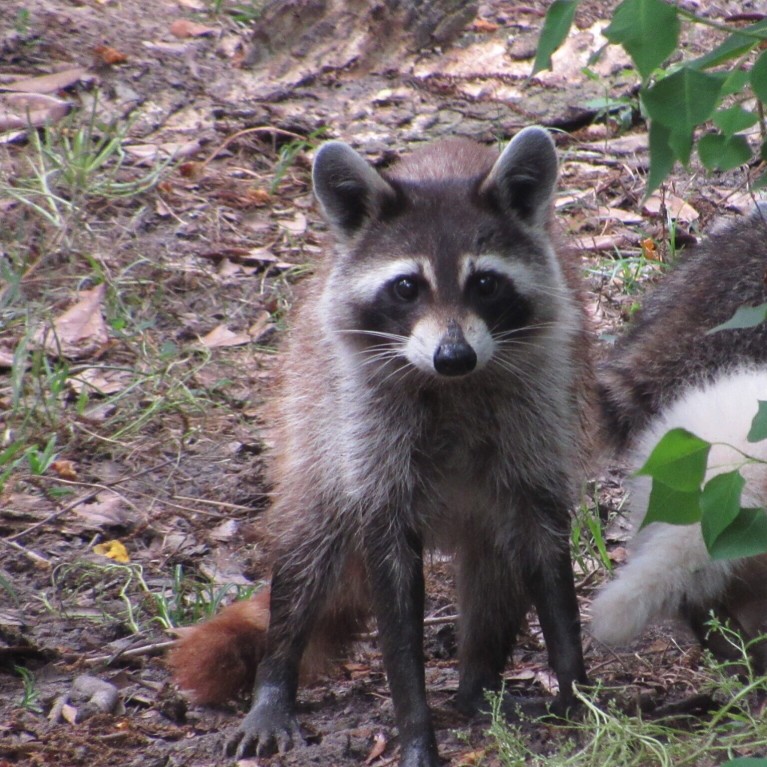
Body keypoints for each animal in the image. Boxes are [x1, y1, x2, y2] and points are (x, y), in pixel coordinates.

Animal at [171, 127, 592, 767]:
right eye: (407, 287)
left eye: (485, 284)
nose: (454, 356)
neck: (452, 388)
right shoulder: (370, 435)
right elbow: (393, 602)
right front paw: (415, 727)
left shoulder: (540, 409)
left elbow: (545, 551)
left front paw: (579, 688)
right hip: (314, 420)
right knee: (308, 550)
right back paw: (276, 676)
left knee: (498, 566)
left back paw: (476, 685)